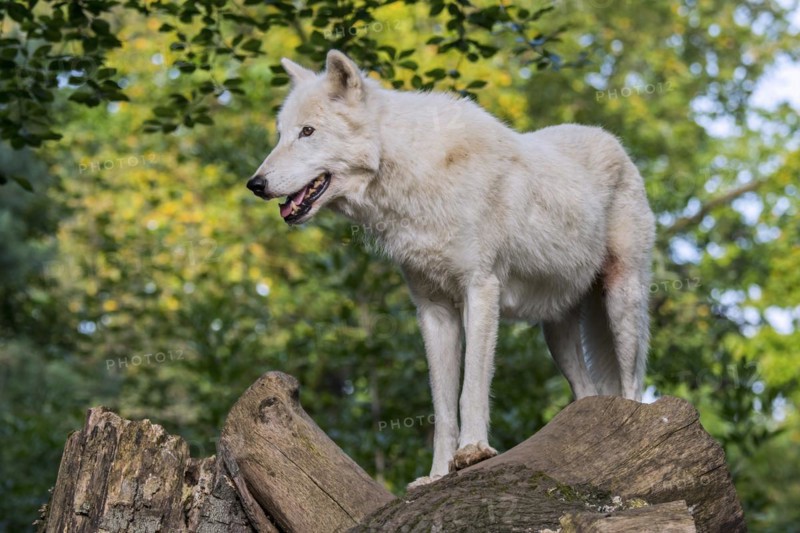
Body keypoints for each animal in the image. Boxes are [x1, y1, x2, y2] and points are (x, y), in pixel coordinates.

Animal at [247, 50, 656, 487]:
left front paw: (473, 451)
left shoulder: (481, 290)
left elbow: (471, 386)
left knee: (632, 383)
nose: (255, 184)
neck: (416, 173)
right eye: (280, 134)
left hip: (621, 302)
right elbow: (441, 405)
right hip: (556, 330)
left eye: (308, 131)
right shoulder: (434, 310)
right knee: (587, 389)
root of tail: (614, 141)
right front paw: (437, 474)